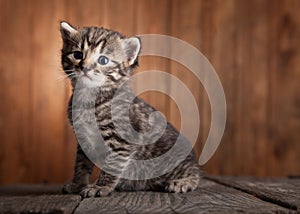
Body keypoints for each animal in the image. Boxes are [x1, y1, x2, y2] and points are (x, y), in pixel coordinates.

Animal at [59, 21, 203, 197]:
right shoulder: (83, 139)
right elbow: (81, 164)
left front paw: (100, 187)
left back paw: (183, 182)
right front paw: (77, 184)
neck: (89, 98)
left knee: (195, 175)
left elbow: (112, 165)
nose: (85, 68)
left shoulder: (121, 141)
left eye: (103, 60)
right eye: (78, 55)